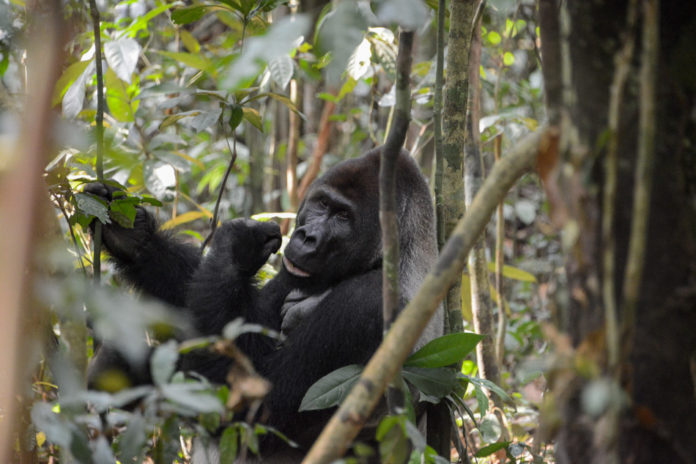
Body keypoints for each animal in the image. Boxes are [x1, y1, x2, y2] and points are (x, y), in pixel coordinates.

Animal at [89, 147, 444, 458]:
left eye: (343, 216)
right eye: (322, 203)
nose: (306, 237)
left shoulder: (367, 305)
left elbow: (254, 407)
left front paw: (236, 249)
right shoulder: (291, 274)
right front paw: (134, 236)